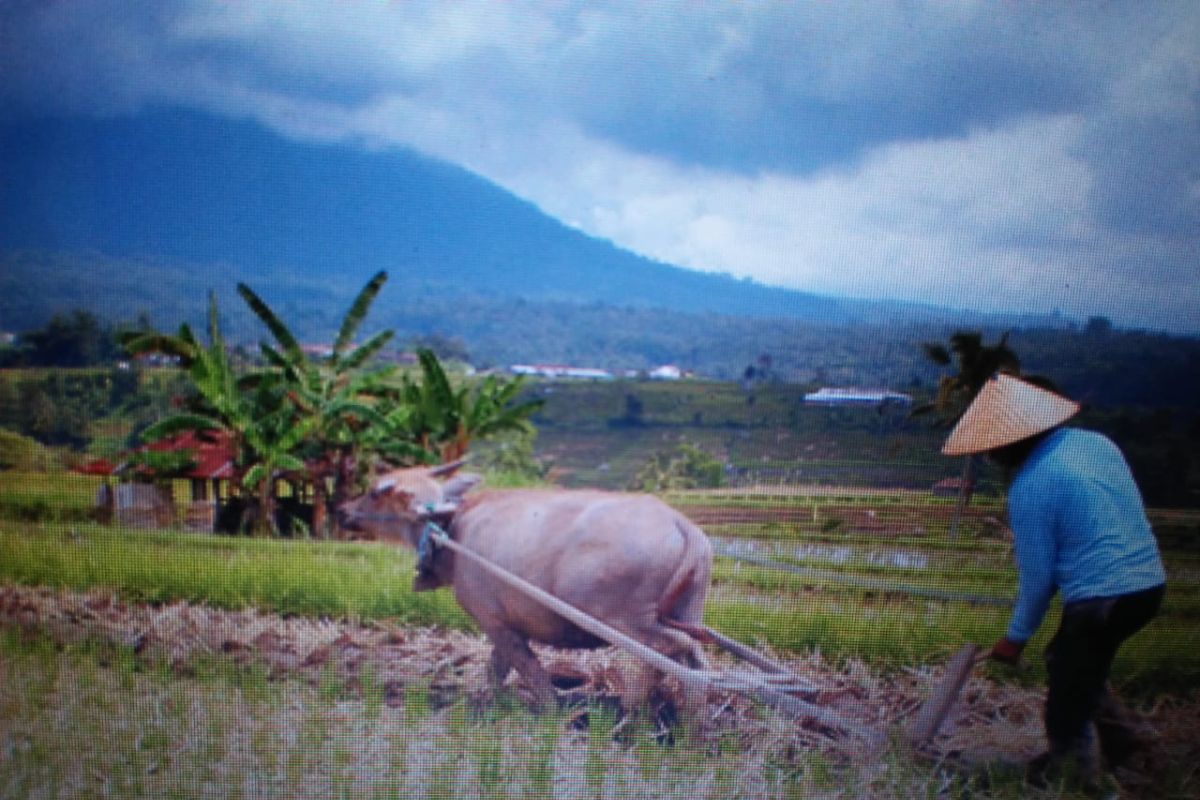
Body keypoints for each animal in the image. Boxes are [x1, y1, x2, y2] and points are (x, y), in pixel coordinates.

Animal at [338, 465, 710, 710]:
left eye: (373, 493)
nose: (343, 510)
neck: (453, 532)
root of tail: (683, 526)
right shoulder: (510, 623)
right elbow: (498, 667)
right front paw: (486, 704)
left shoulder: (493, 621)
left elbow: (527, 668)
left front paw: (550, 711)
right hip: (687, 609)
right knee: (695, 659)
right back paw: (694, 723)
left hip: (625, 621)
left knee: (668, 650)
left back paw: (632, 712)